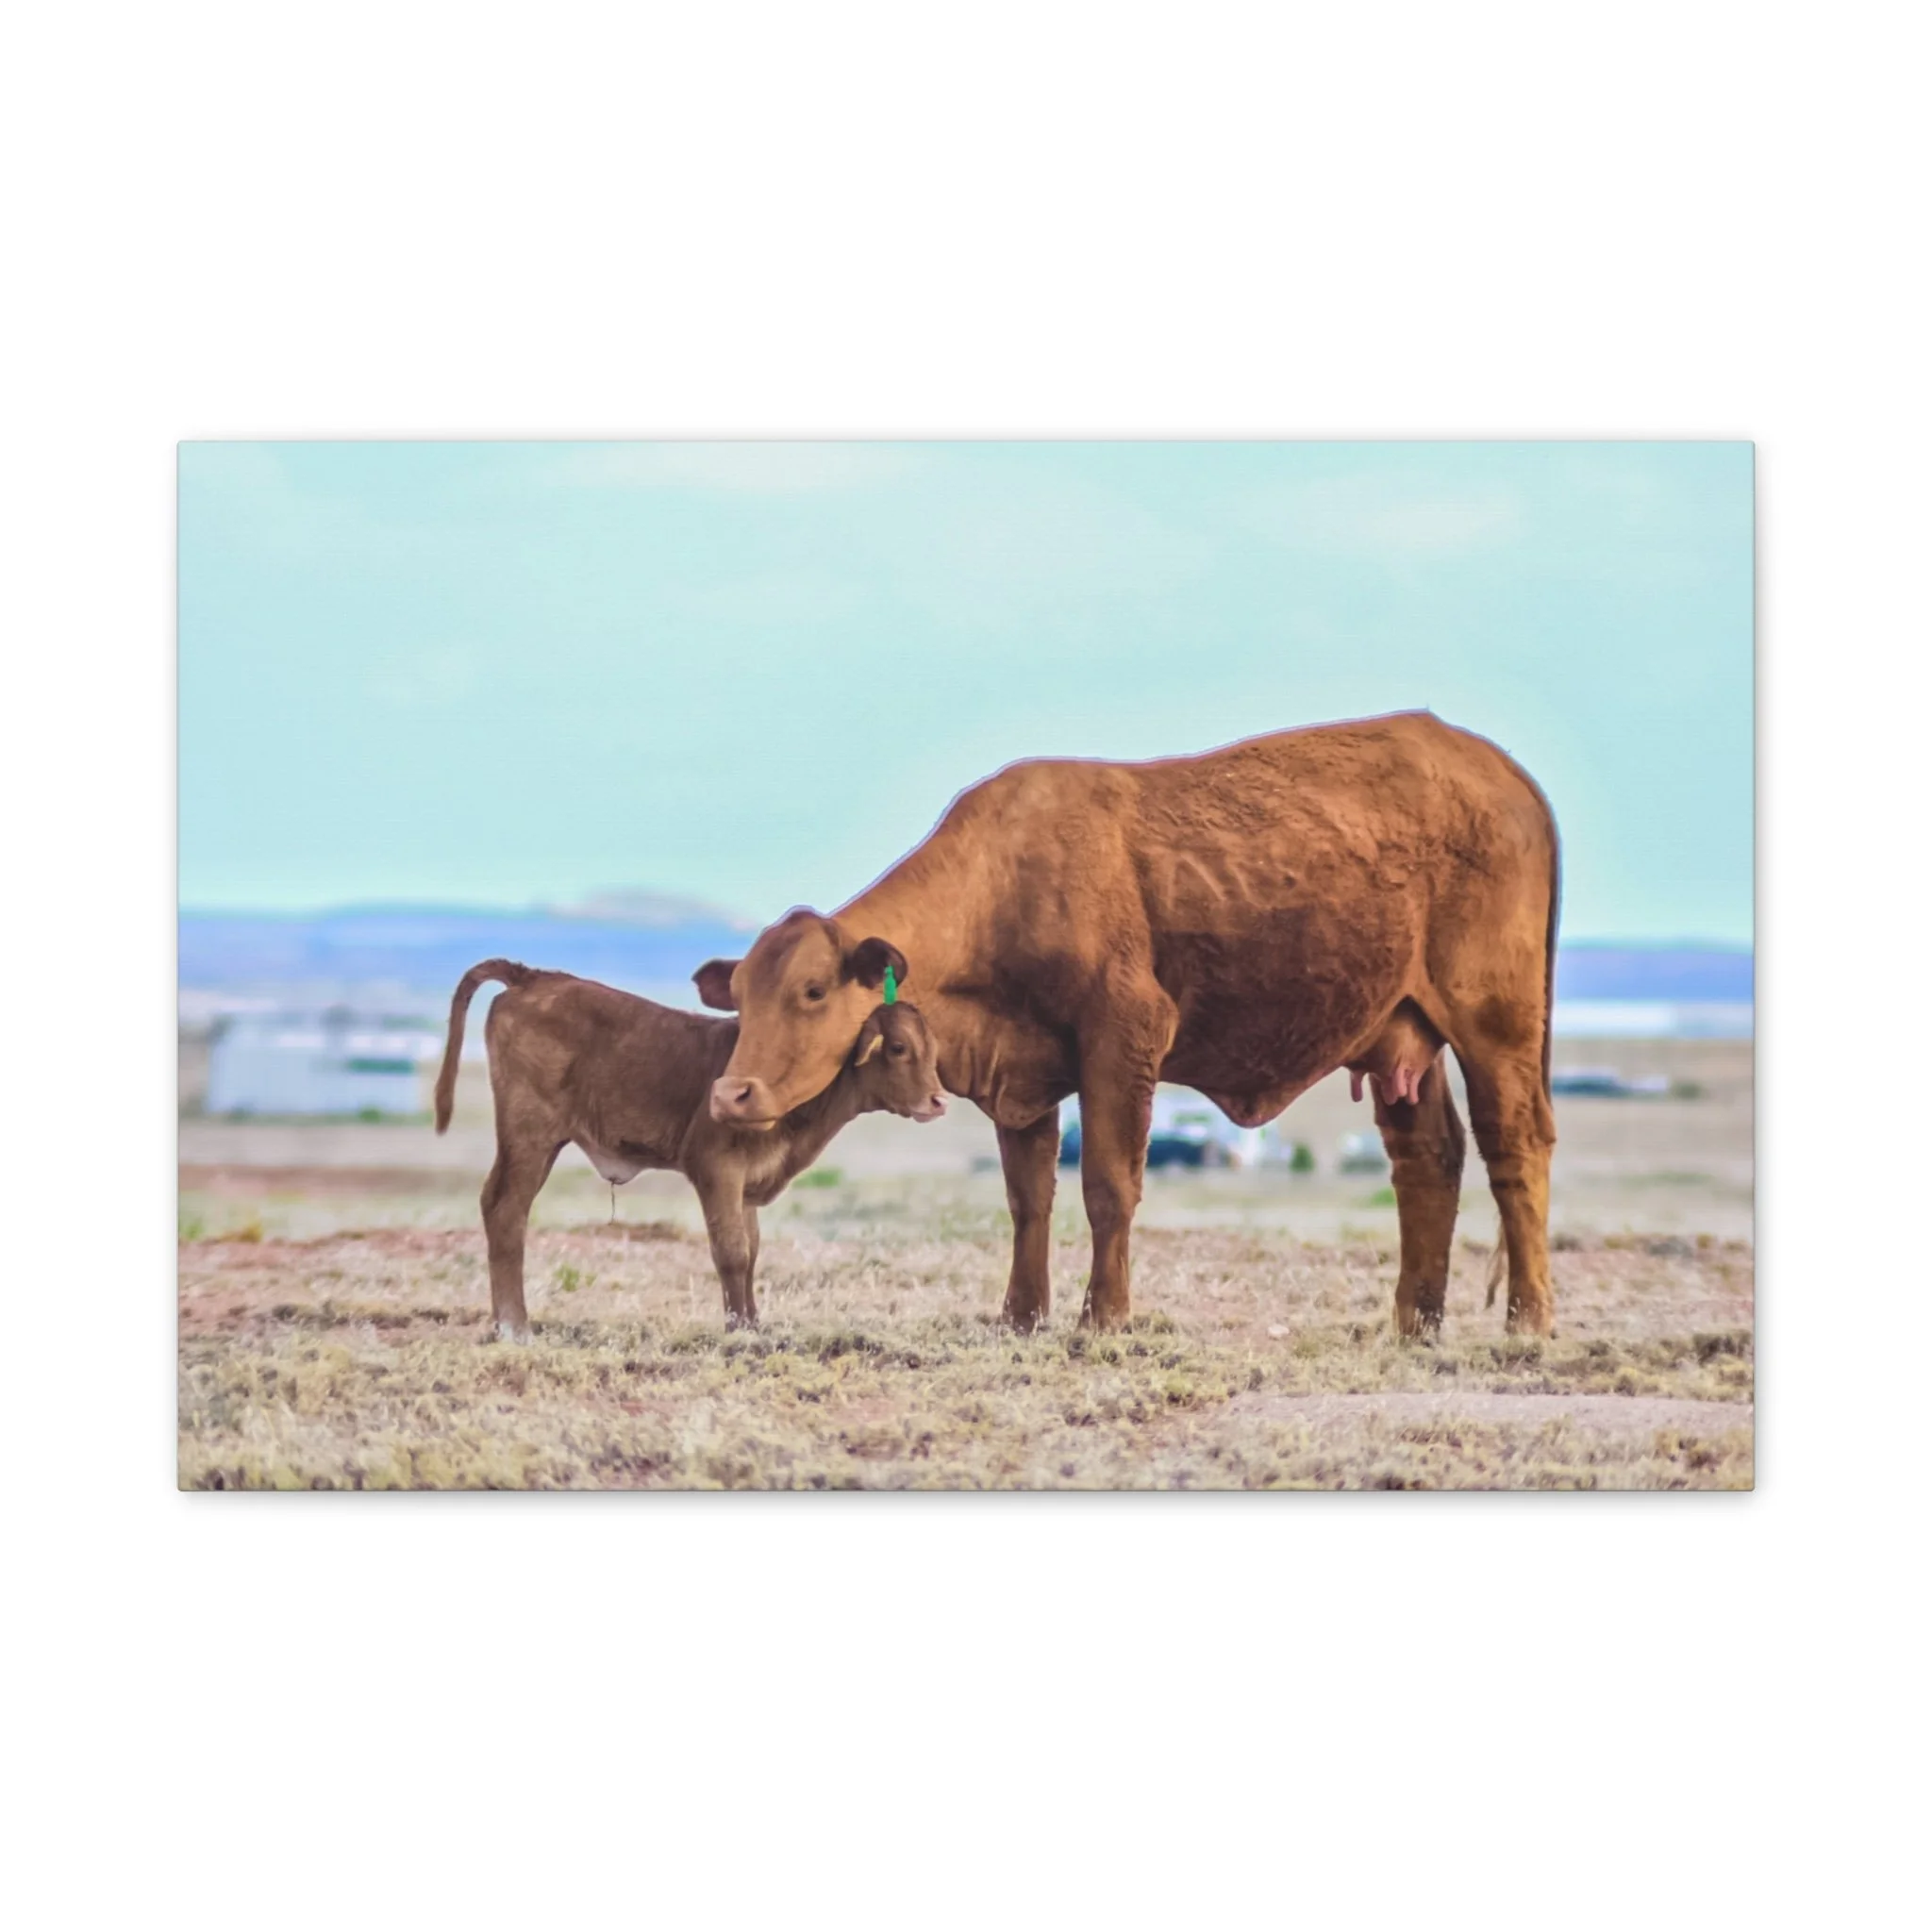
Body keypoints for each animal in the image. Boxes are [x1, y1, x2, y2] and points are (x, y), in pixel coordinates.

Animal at [433, 961, 947, 1338]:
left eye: (933, 1047)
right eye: (898, 1047)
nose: (938, 1100)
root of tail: (533, 976)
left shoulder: (746, 1183)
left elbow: (751, 1250)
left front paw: (753, 1322)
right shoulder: (715, 1168)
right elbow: (731, 1251)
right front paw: (737, 1330)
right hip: (529, 1134)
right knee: (505, 1208)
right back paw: (514, 1326)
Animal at [696, 711, 1560, 1337]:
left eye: (811, 990)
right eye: (736, 994)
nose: (731, 1095)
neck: (1007, 882)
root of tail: (1495, 766)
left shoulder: (1124, 1036)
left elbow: (1108, 1185)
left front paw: (1103, 1317)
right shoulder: (1024, 1076)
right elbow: (1029, 1197)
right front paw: (1021, 1316)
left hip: (1496, 1025)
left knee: (1515, 1146)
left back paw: (1528, 1321)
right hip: (1401, 1036)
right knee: (1429, 1159)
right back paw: (1416, 1324)